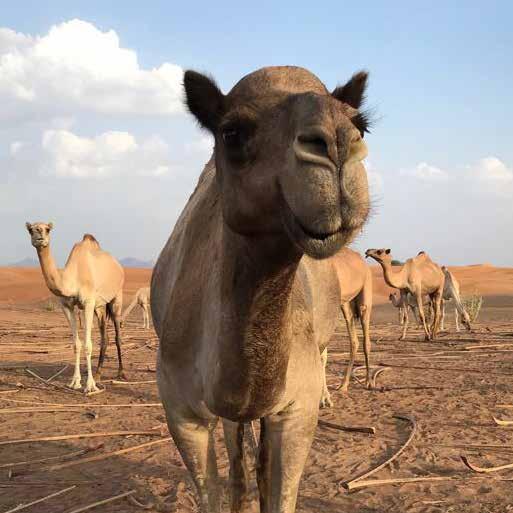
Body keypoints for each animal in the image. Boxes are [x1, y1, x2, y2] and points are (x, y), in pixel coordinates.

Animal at [26, 221, 126, 392]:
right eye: (31, 230)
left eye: (47, 229)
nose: (39, 235)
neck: (72, 278)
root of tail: (118, 266)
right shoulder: (67, 306)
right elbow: (76, 344)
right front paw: (75, 382)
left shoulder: (88, 303)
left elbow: (87, 345)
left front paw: (90, 386)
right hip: (100, 307)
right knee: (104, 336)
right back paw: (98, 375)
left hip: (116, 297)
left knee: (117, 335)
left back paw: (121, 373)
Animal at [320, 247, 372, 400]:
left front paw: (324, 397)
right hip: (346, 304)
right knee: (354, 341)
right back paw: (343, 385)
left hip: (365, 290)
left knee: (366, 338)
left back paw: (368, 382)